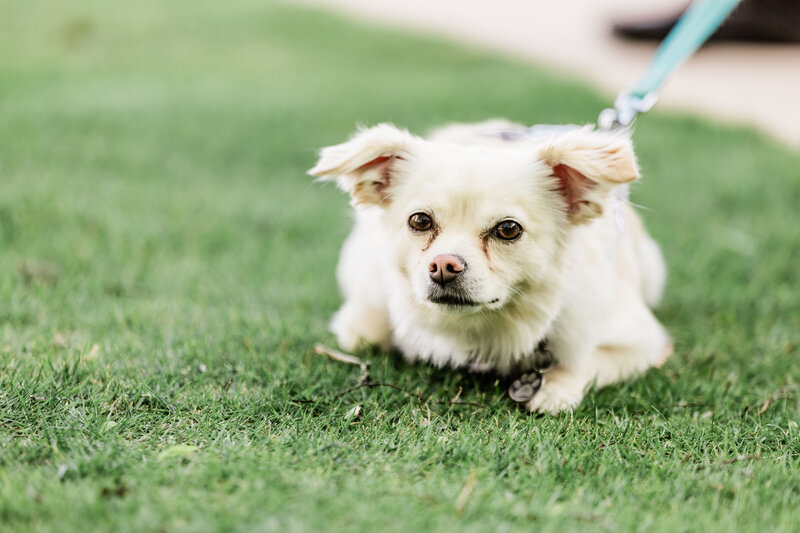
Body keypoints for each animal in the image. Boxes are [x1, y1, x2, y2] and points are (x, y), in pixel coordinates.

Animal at [310, 120, 672, 416]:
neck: (480, 331)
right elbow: (363, 331)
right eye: (420, 221)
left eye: (508, 229)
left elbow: (585, 360)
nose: (444, 265)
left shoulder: (643, 341)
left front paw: (555, 387)